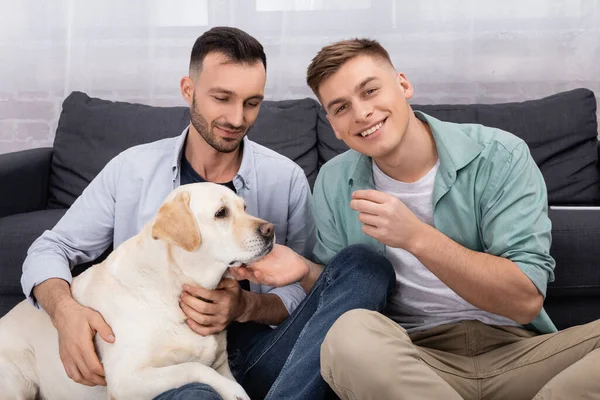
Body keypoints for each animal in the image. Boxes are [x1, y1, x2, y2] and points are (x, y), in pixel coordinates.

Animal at [0, 182, 276, 400]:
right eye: (221, 213)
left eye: (244, 208)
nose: (270, 230)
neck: (171, 287)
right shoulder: (127, 379)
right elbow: (194, 368)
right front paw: (232, 391)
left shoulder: (221, 363)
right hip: (18, 385)